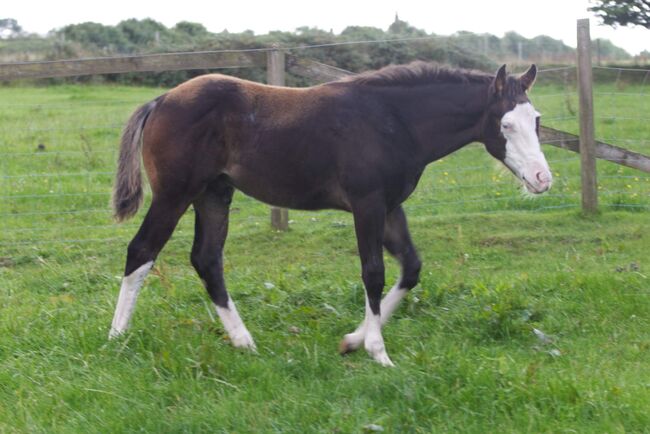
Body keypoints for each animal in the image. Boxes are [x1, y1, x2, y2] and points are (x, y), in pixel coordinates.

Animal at [109, 61, 548, 366]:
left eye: (537, 121)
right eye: (506, 124)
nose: (543, 178)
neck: (394, 119)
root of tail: (161, 101)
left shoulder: (390, 206)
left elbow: (411, 268)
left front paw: (352, 341)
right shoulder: (366, 203)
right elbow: (373, 272)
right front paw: (378, 351)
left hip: (214, 193)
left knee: (206, 259)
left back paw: (245, 342)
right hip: (175, 194)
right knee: (142, 251)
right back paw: (117, 338)